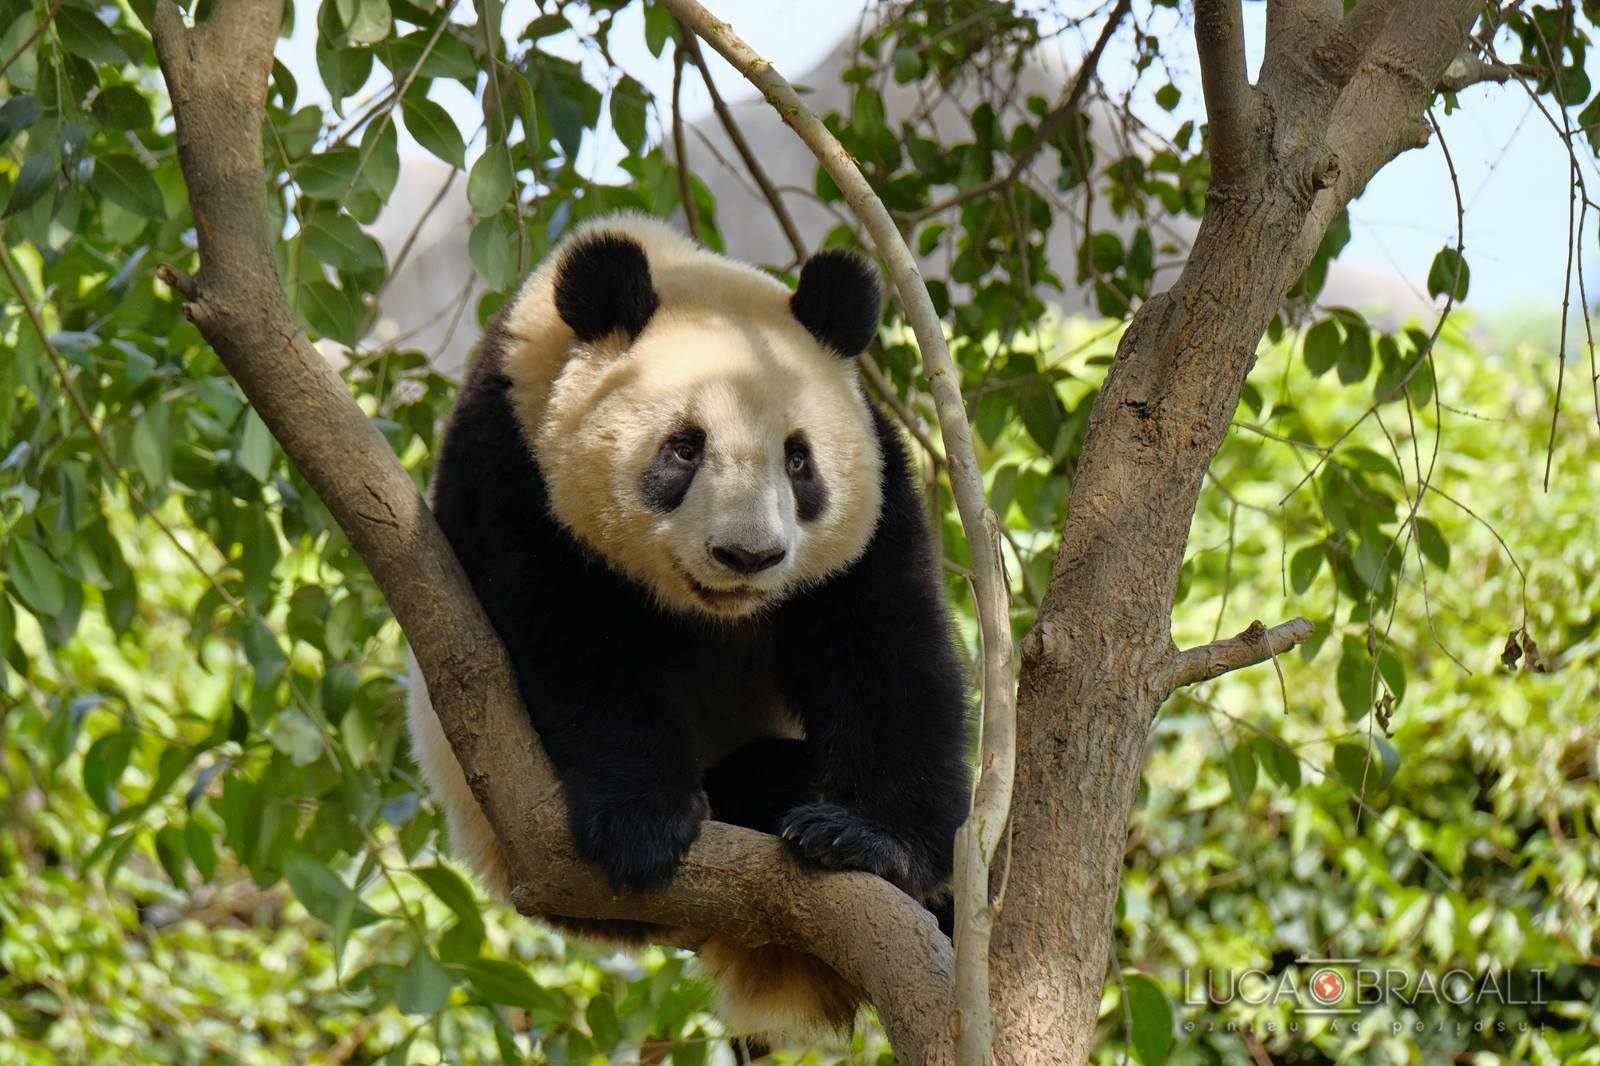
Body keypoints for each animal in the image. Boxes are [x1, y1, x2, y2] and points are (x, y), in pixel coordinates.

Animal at [406, 211, 966, 1043]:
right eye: (683, 447)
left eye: (799, 461)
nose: (748, 555)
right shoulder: (512, 467)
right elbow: (580, 646)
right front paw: (645, 824)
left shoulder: (875, 500)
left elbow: (885, 647)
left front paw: (868, 838)